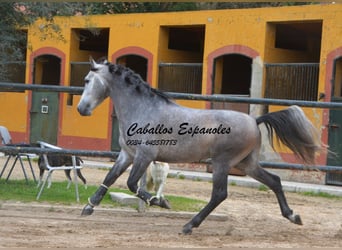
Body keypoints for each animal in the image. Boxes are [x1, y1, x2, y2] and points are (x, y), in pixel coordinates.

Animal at [77, 58, 320, 234]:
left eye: (87, 80)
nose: (81, 109)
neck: (143, 108)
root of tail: (254, 120)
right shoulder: (126, 155)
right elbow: (110, 178)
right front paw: (88, 207)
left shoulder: (144, 156)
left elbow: (131, 183)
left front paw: (160, 202)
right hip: (246, 164)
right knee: (274, 181)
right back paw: (293, 216)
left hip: (223, 163)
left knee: (219, 194)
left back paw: (189, 226)